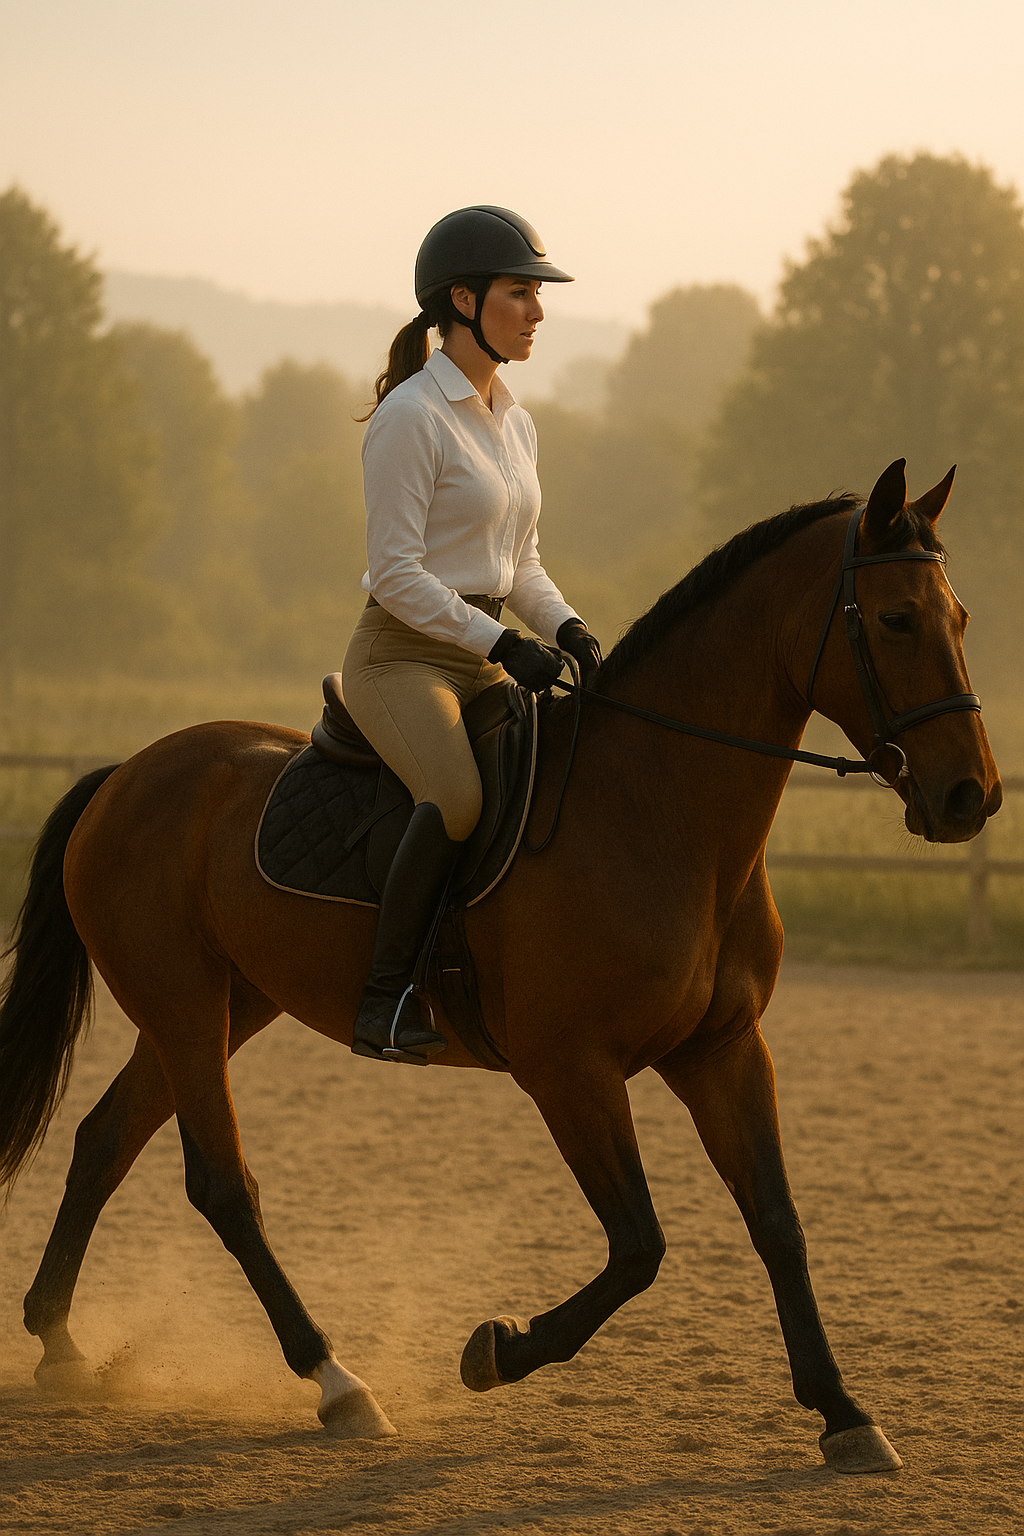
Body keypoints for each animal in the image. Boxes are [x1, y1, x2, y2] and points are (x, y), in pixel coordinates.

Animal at [0, 459, 1001, 1475]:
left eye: (958, 619)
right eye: (896, 619)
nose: (972, 797)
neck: (658, 812)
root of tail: (127, 773)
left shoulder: (724, 1051)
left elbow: (778, 1226)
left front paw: (845, 1413)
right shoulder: (569, 1070)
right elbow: (639, 1246)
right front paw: (497, 1351)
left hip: (220, 1007)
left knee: (105, 1140)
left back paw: (63, 1348)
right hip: (186, 1007)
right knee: (222, 1187)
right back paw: (337, 1381)